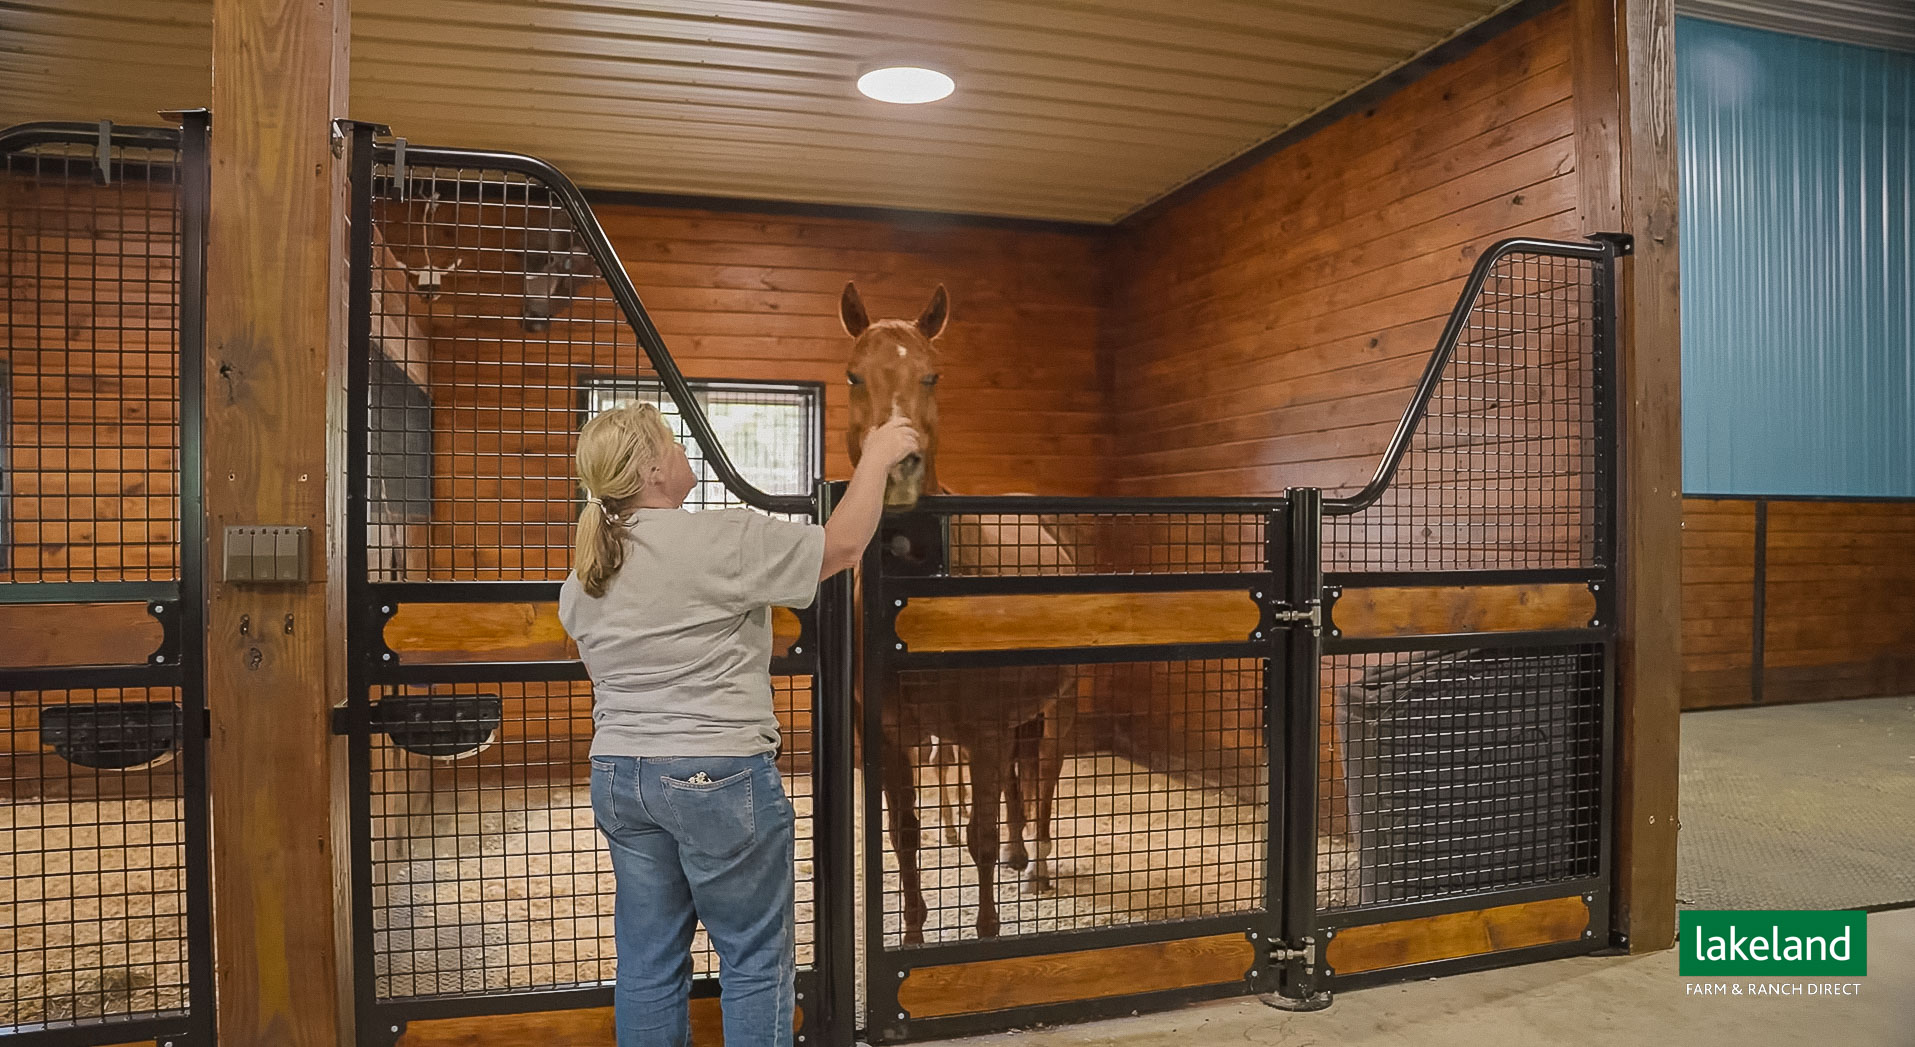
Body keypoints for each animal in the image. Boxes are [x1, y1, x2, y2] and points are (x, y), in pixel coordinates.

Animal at [841, 282, 1078, 942]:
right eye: (854, 376)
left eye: (932, 375)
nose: (897, 471)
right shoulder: (890, 735)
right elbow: (904, 835)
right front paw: (914, 935)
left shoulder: (984, 729)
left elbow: (981, 837)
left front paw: (988, 934)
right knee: (1020, 780)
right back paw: (1024, 857)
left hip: (1058, 708)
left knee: (1043, 779)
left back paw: (1037, 868)